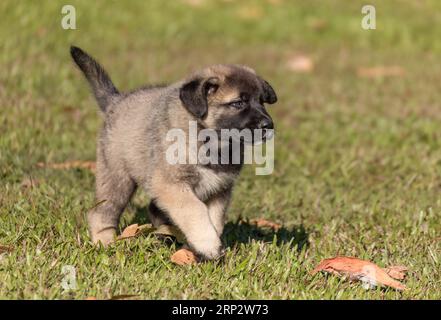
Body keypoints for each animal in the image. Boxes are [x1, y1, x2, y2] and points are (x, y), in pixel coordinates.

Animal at [69, 45, 276, 260]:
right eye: (238, 103)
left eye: (261, 102)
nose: (268, 125)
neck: (210, 141)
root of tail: (115, 102)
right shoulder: (173, 185)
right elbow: (196, 211)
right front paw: (208, 245)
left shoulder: (219, 191)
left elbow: (215, 220)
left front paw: (206, 247)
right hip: (117, 178)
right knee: (102, 212)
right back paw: (104, 243)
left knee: (154, 209)